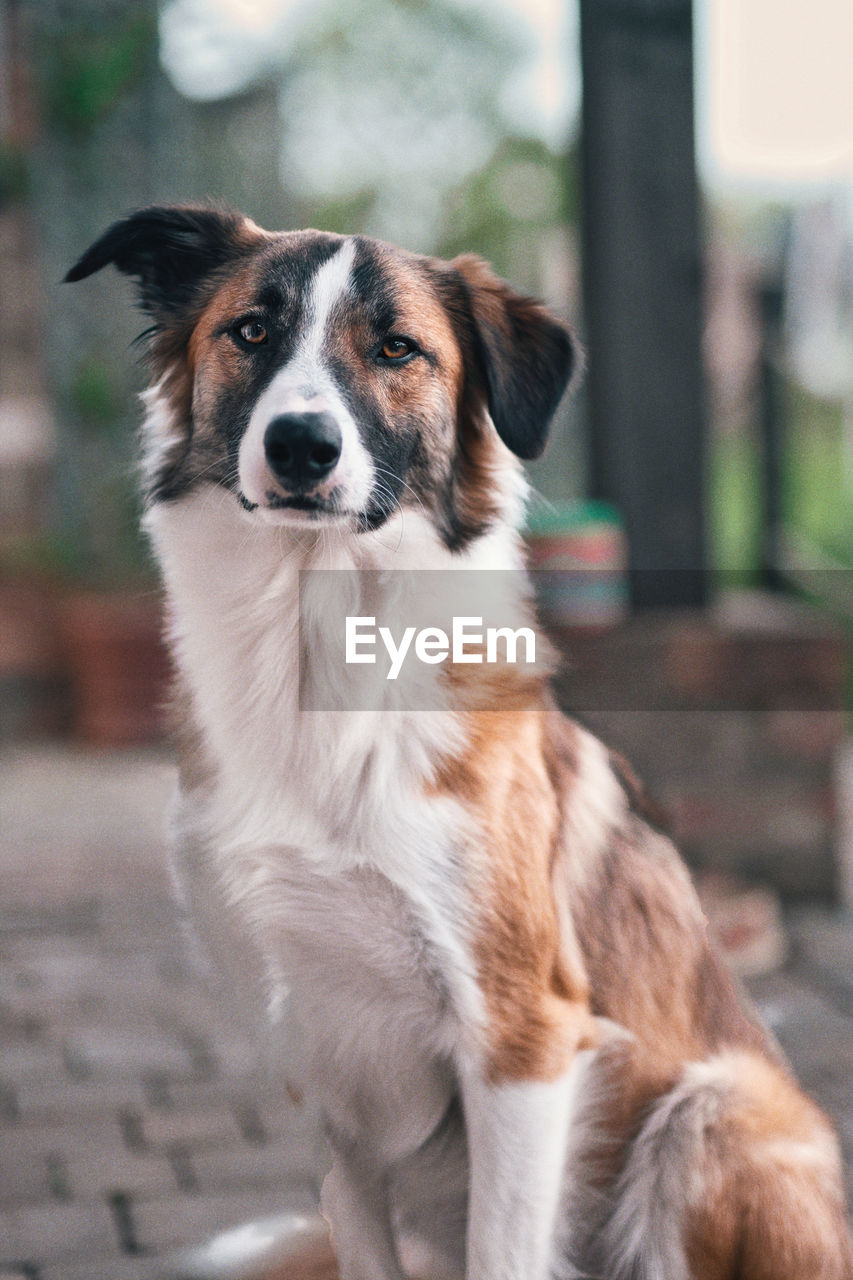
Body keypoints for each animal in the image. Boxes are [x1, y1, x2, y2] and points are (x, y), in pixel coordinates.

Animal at [66, 204, 850, 1274]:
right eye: (252, 332)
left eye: (398, 349)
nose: (301, 446)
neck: (322, 652)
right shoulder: (321, 1075)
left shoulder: (522, 1042)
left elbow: (505, 1251)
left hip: (710, 1110)